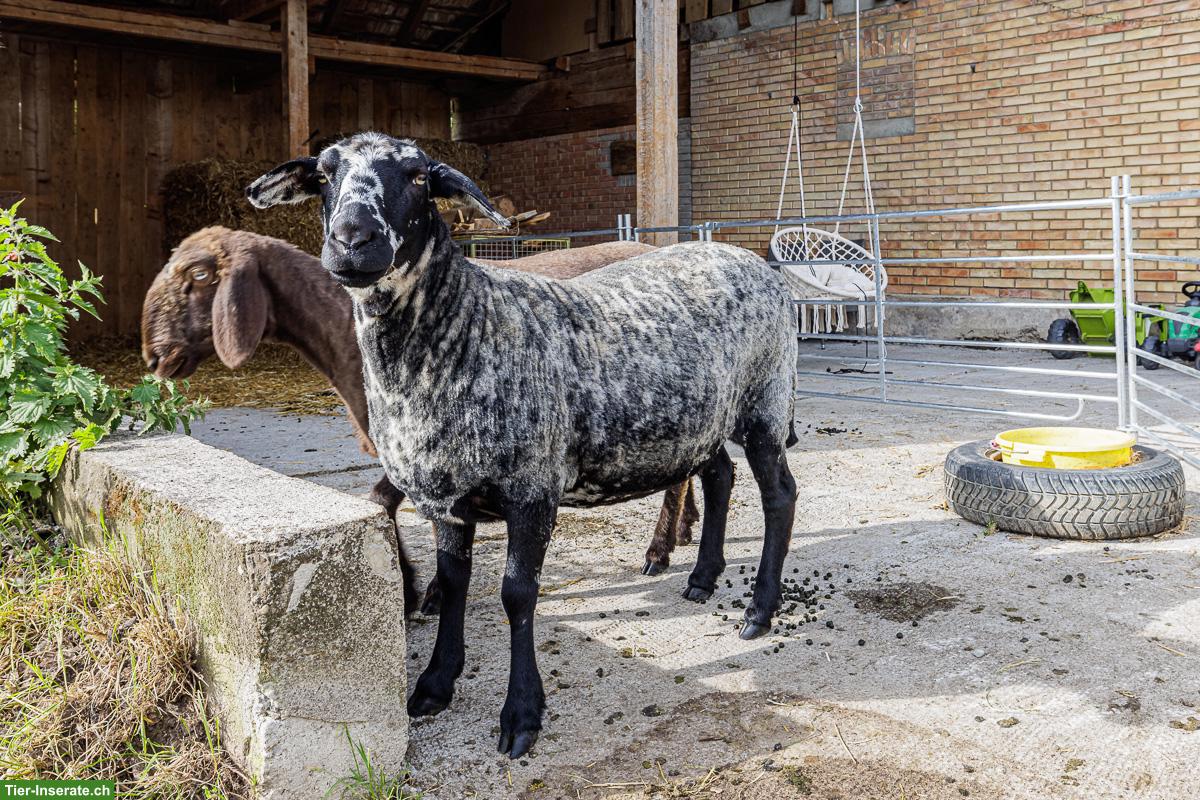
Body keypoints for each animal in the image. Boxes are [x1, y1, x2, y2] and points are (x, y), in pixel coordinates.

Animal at [140, 227, 700, 613]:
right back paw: (685, 528)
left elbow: (384, 501)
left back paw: (660, 549)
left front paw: (416, 589)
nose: (153, 356)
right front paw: (419, 589)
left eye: (199, 276)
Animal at [247, 133, 798, 759]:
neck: (465, 327)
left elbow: (516, 594)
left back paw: (759, 609)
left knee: (780, 495)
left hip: (766, 399)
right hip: (701, 415)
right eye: (323, 175)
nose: (352, 240)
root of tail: (748, 259)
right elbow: (455, 584)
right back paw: (702, 578)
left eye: (417, 176)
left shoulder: (532, 488)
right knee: (719, 475)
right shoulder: (446, 499)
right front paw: (433, 686)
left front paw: (521, 716)